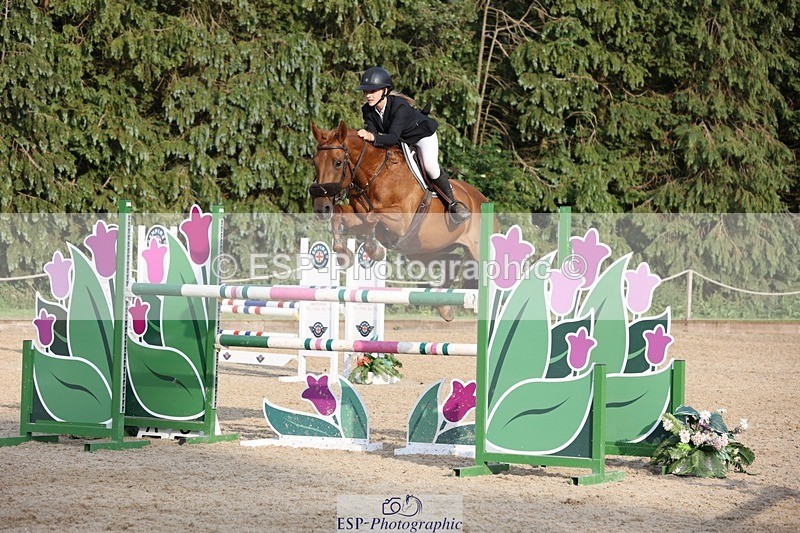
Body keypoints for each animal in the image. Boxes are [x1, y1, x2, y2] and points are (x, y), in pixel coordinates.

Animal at [308, 121, 490, 321]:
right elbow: (341, 214)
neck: (375, 175)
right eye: (315, 162)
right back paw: (444, 307)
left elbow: (373, 215)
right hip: (423, 251)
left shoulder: (402, 222)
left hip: (474, 250)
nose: (321, 207)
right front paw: (344, 255)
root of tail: (481, 198)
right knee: (454, 260)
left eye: (338, 163)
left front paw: (375, 250)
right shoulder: (358, 216)